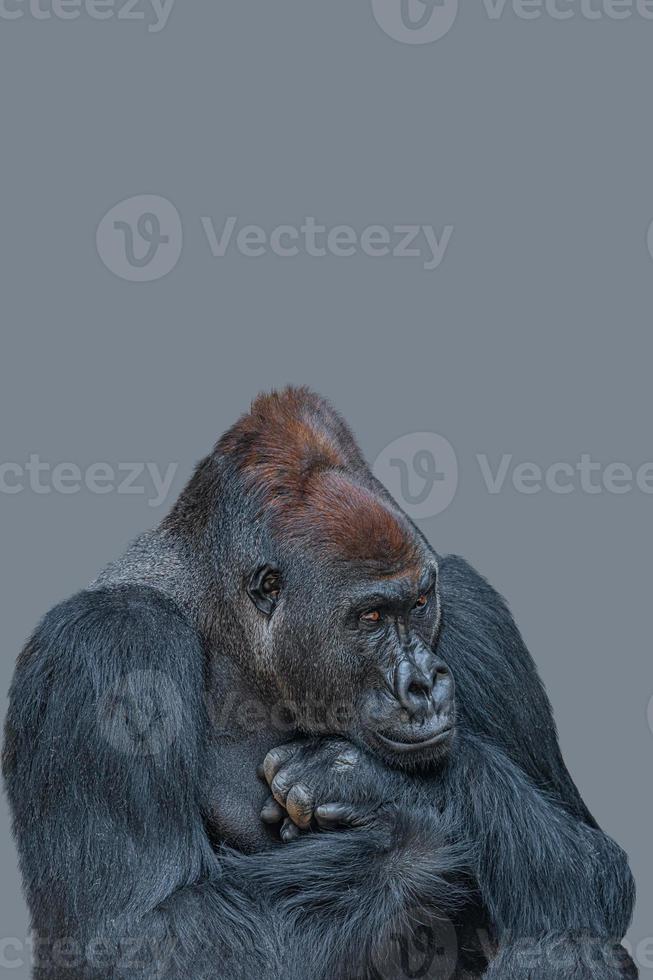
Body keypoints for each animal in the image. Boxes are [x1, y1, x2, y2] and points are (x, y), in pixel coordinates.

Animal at [3, 388, 636, 980]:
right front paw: (408, 829)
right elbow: (145, 934)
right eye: (371, 617)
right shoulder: (108, 644)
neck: (228, 632)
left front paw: (370, 781)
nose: (424, 684)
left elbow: (594, 866)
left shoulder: (473, 609)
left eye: (420, 603)